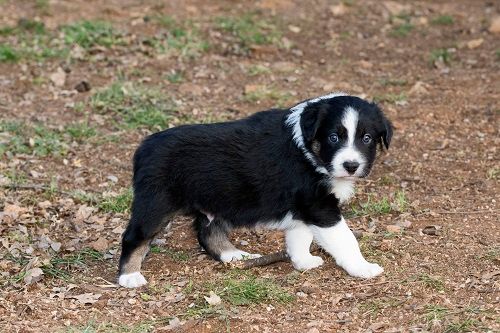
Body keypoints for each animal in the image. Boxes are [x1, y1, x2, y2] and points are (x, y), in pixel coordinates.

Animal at [118, 92, 394, 286]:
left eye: (367, 138)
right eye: (334, 138)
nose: (351, 165)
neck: (308, 149)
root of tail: (143, 148)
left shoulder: (303, 207)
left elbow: (299, 235)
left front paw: (303, 261)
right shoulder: (319, 205)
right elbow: (345, 239)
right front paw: (363, 267)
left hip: (215, 202)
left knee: (208, 234)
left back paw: (235, 256)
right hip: (157, 202)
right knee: (134, 236)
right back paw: (129, 277)